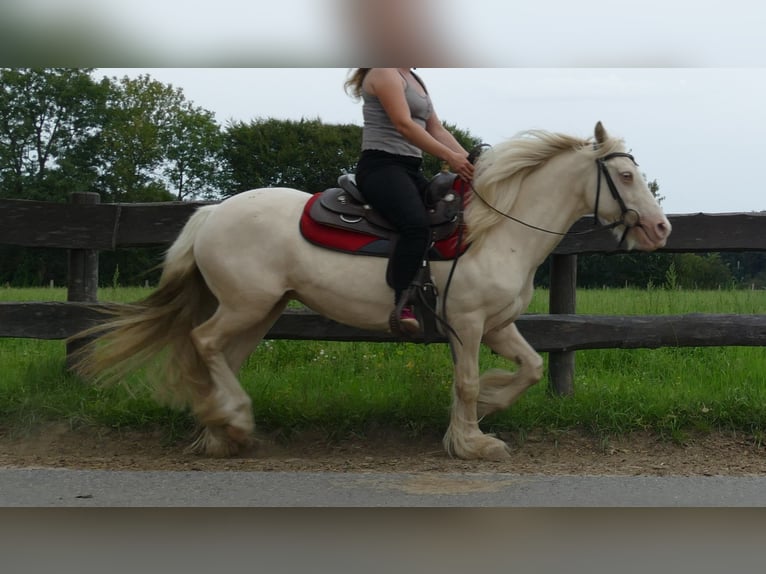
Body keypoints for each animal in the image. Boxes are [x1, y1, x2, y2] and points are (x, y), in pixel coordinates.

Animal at [72, 122, 672, 464]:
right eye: (624, 175)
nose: (661, 228)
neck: (496, 230)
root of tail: (212, 213)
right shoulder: (467, 324)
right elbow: (468, 382)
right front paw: (471, 441)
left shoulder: (499, 325)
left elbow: (529, 368)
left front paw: (486, 408)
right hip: (247, 304)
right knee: (205, 342)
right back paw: (233, 421)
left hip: (260, 309)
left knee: (219, 351)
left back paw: (223, 430)